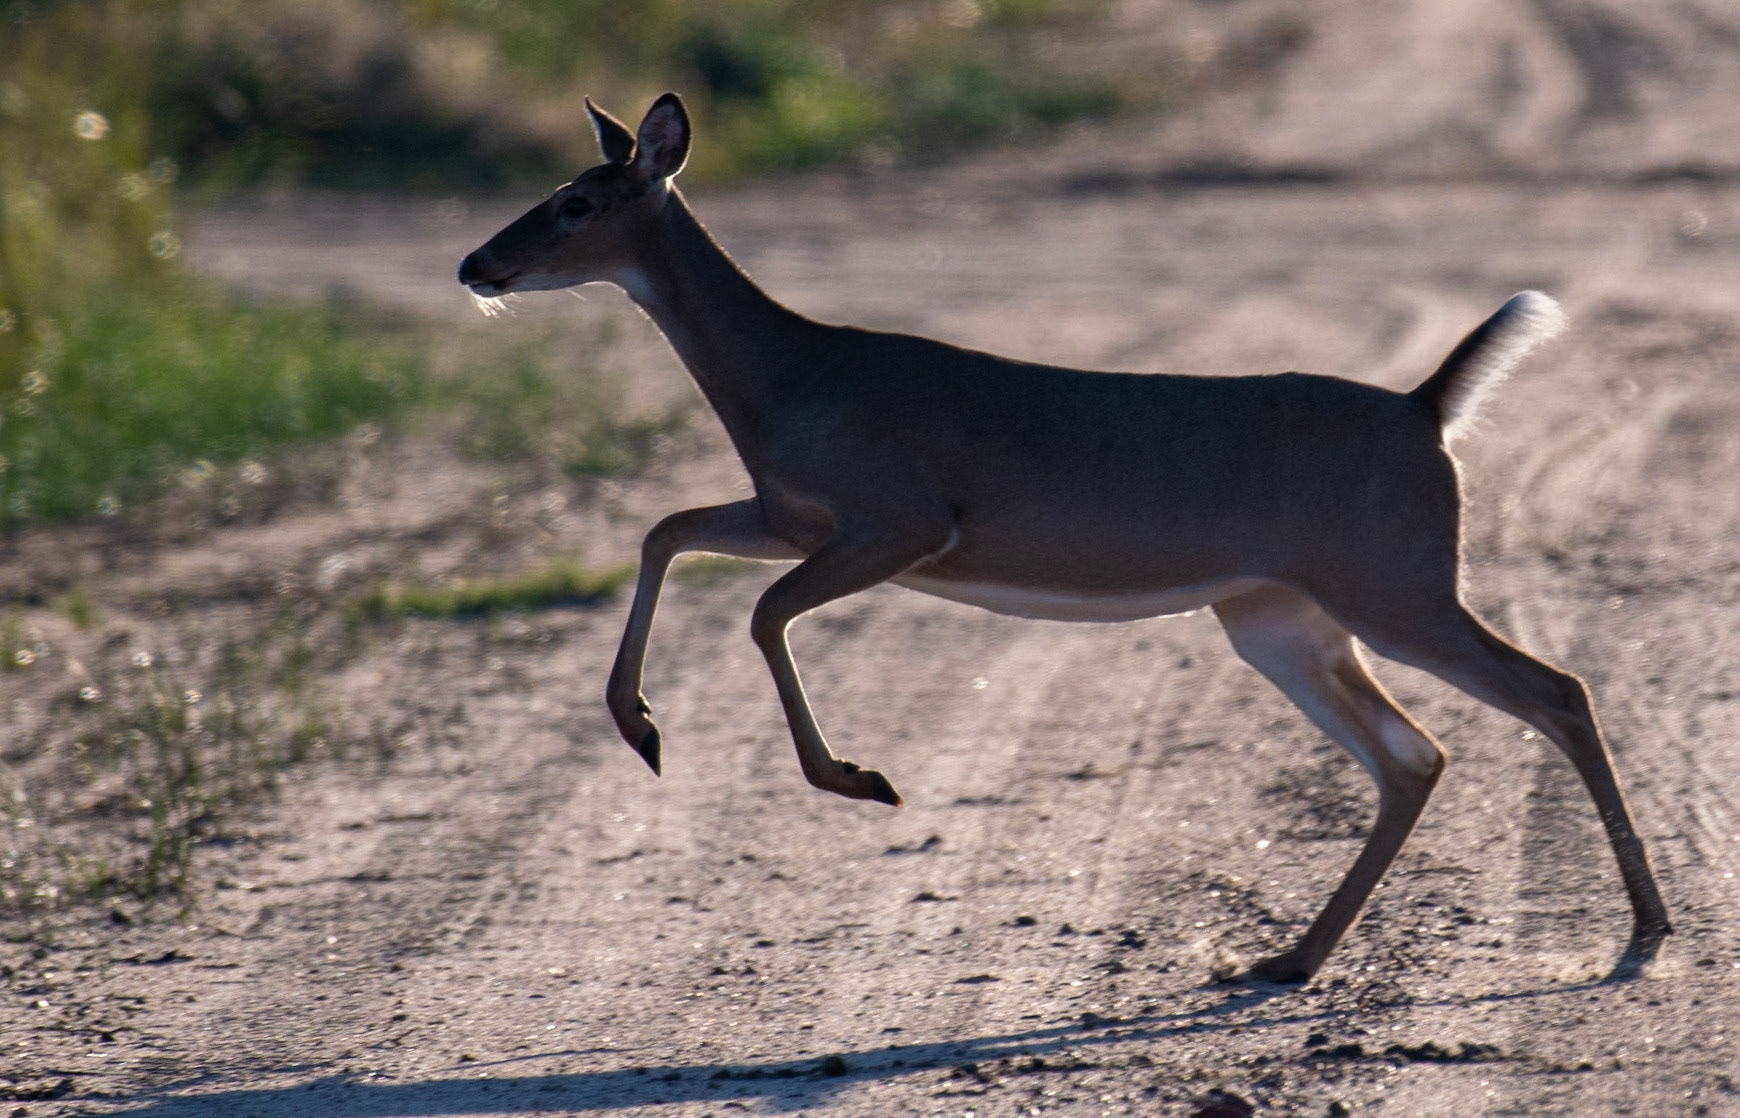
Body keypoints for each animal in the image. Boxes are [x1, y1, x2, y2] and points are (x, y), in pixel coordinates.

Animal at [457, 93, 1670, 984]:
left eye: (575, 201)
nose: (476, 265)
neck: (791, 379)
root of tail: (1427, 408)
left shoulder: (904, 519)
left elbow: (760, 611)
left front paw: (859, 777)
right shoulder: (790, 513)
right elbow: (664, 531)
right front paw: (642, 728)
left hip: (1398, 581)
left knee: (1554, 691)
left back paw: (1646, 930)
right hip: (1279, 611)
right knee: (1414, 753)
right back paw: (1288, 959)